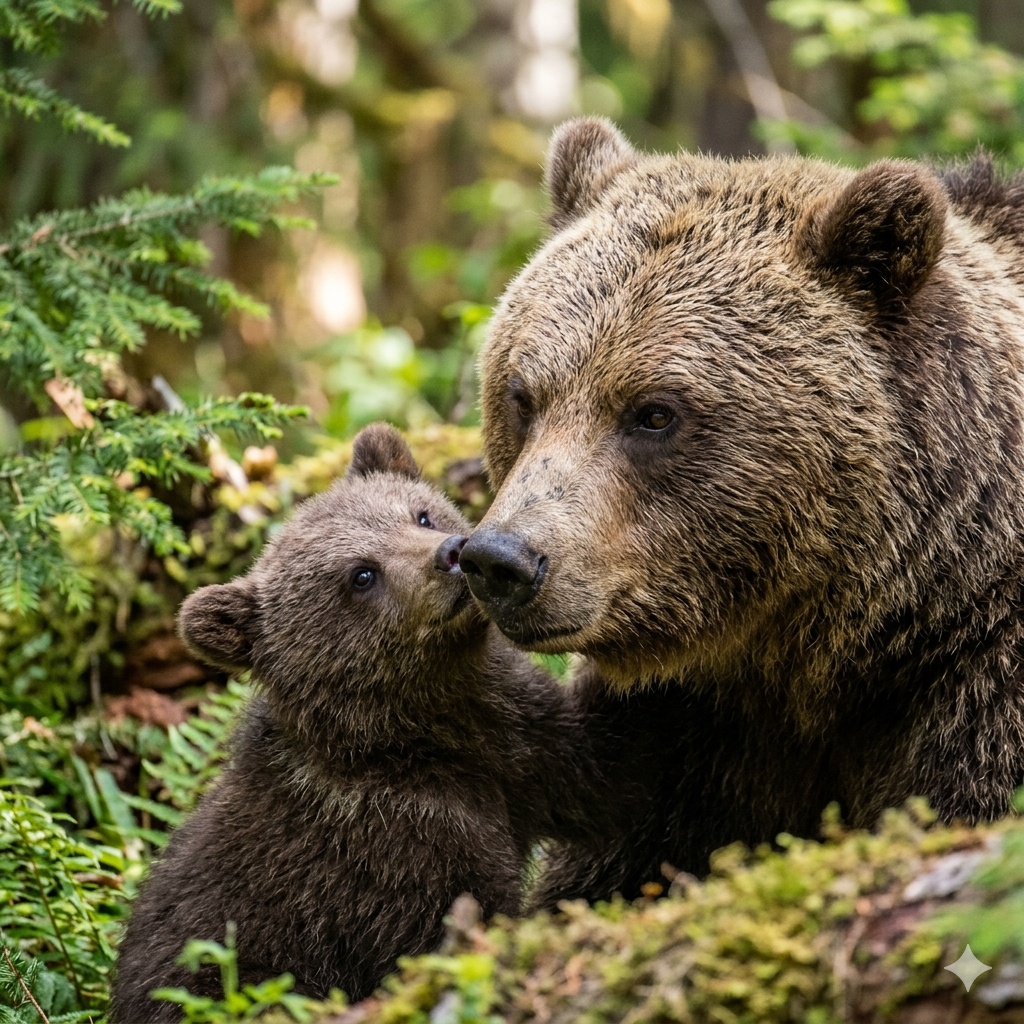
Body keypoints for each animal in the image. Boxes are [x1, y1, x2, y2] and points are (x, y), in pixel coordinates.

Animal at [110, 423, 605, 1022]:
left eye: (421, 514)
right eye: (362, 574)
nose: (451, 554)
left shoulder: (522, 739)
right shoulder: (388, 852)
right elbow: (451, 924)